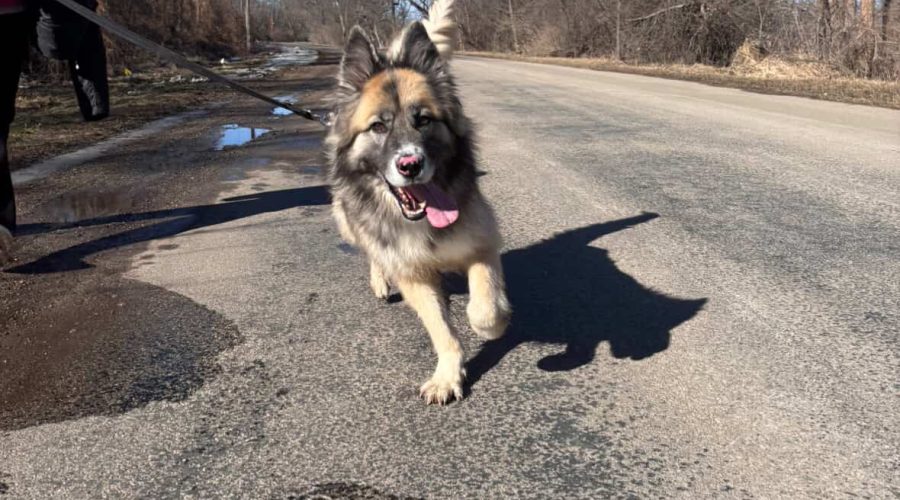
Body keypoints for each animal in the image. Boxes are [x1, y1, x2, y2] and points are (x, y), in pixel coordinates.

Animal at [325, 0, 511, 404]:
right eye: (378, 126)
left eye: (423, 120)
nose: (410, 165)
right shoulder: (413, 273)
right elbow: (440, 328)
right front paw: (447, 376)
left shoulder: (482, 243)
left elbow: (484, 303)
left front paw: (491, 325)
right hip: (348, 220)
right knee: (370, 248)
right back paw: (380, 279)